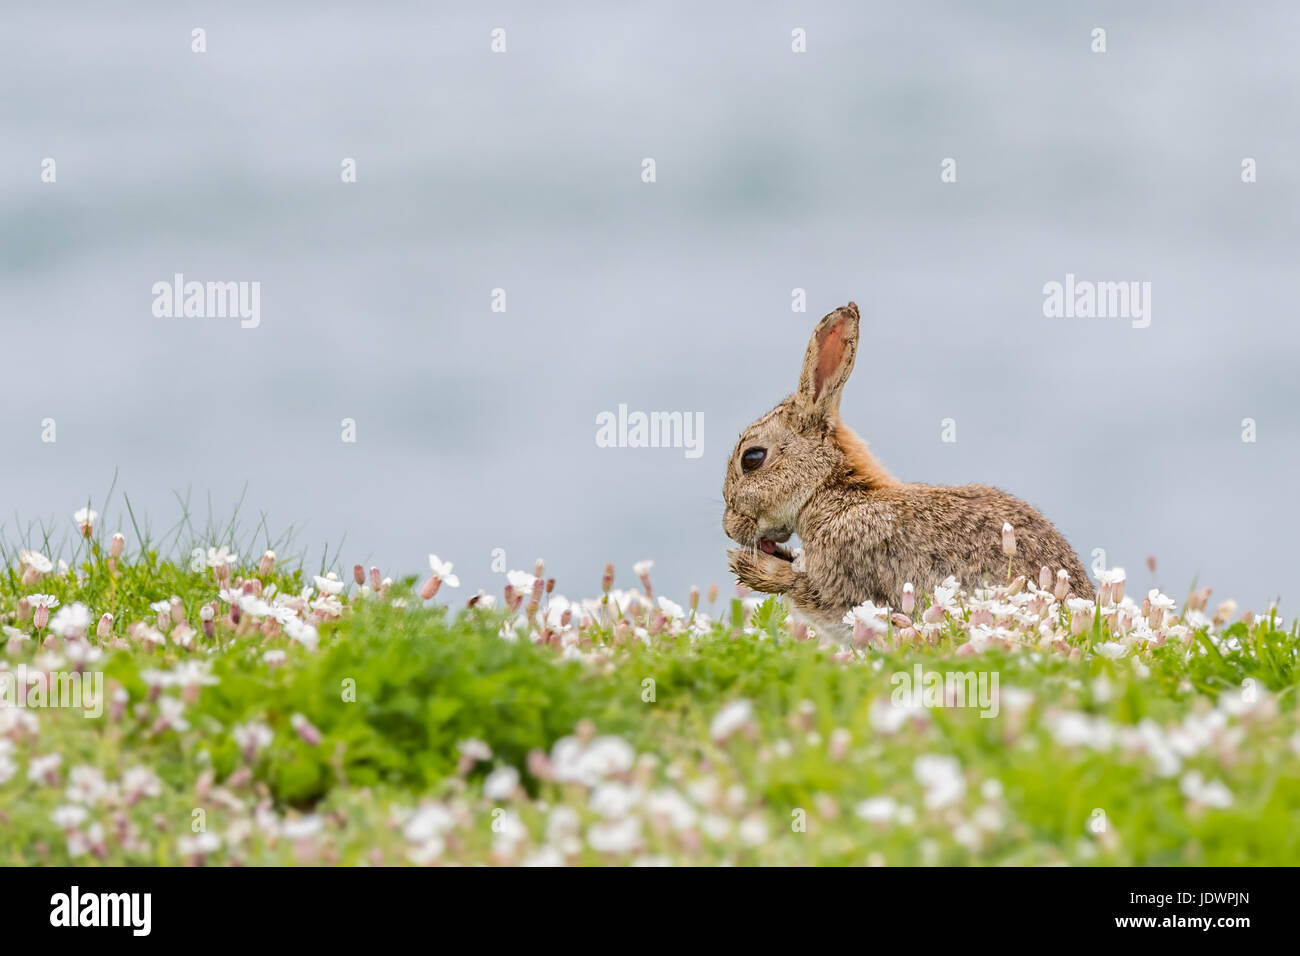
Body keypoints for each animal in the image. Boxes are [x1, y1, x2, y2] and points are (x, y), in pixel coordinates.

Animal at [728, 303, 1092, 639]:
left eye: (752, 458)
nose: (730, 529)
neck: (833, 491)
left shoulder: (847, 581)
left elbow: (812, 592)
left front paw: (749, 566)